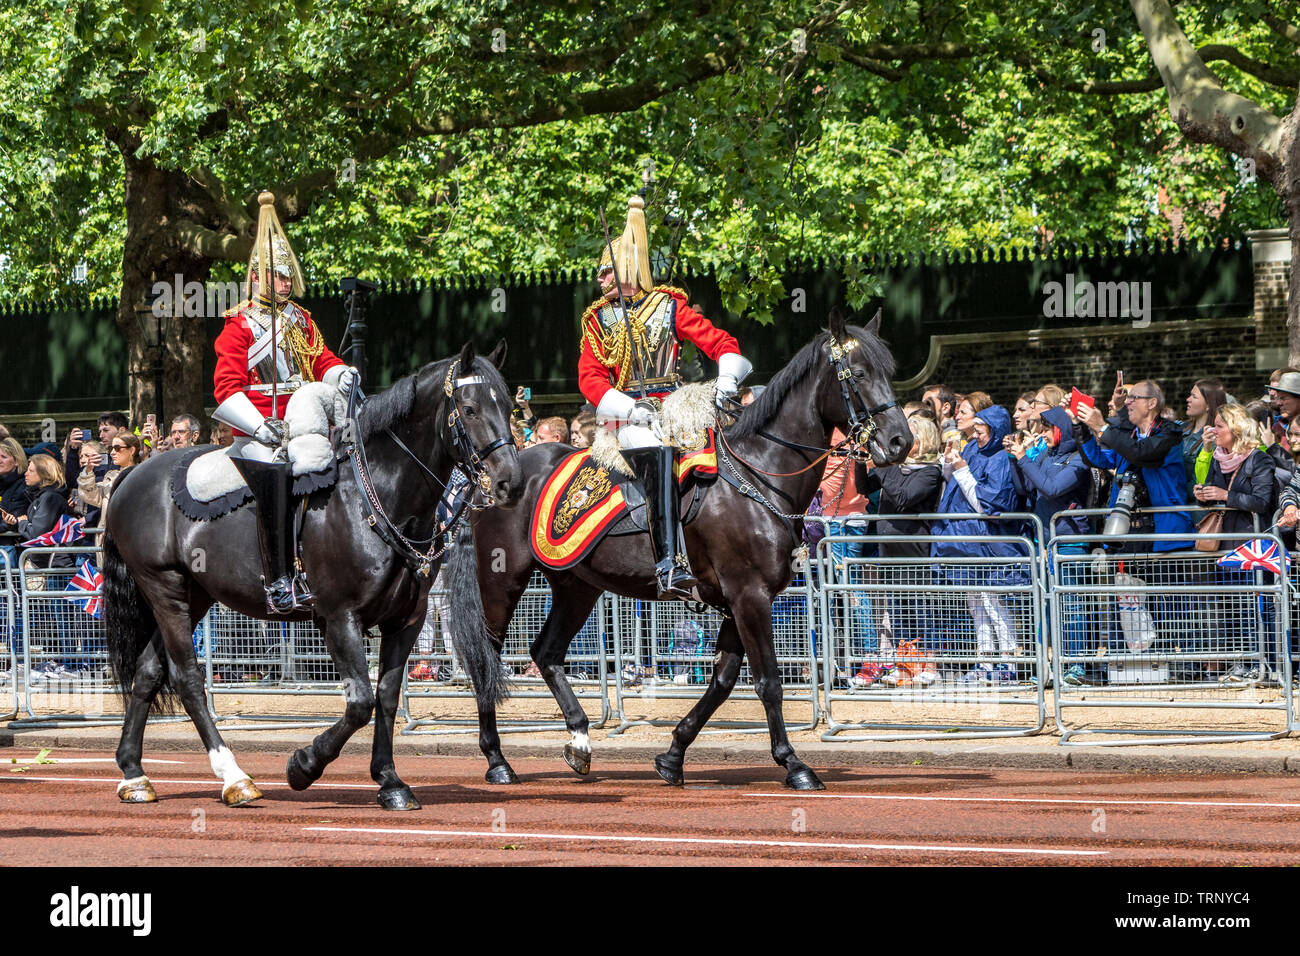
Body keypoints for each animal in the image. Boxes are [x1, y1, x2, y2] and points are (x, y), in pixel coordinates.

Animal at [102, 343, 522, 806]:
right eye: (469, 408)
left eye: (508, 406)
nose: (511, 482)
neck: (374, 495)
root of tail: (133, 474)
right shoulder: (339, 617)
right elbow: (360, 701)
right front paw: (304, 765)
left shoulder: (406, 620)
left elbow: (386, 697)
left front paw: (390, 780)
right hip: (166, 589)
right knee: (188, 678)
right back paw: (234, 777)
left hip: (193, 595)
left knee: (147, 671)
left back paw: (134, 773)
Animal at [462, 314, 909, 790]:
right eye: (858, 374)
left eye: (888, 371)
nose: (901, 442)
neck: (760, 476)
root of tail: (494, 476)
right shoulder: (749, 596)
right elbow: (767, 681)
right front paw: (794, 764)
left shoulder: (739, 602)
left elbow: (723, 681)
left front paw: (673, 755)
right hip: (502, 579)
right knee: (487, 659)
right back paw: (497, 760)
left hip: (576, 586)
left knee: (546, 653)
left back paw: (580, 742)